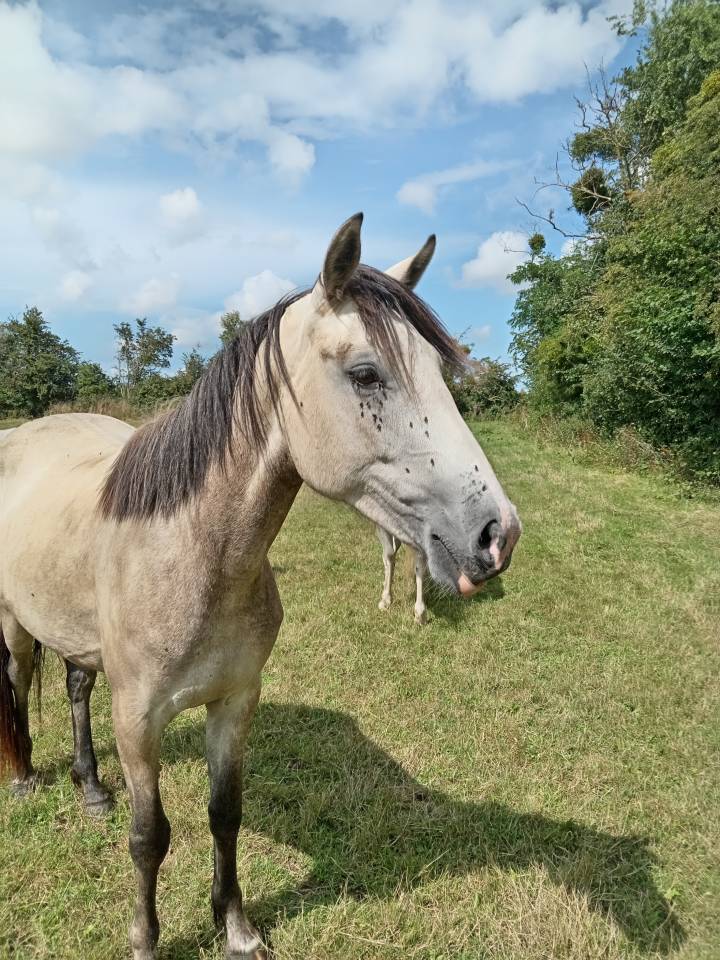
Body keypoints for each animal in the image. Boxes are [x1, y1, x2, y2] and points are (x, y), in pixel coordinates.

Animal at [0, 214, 521, 960]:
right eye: (366, 374)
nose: (496, 533)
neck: (194, 556)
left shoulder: (235, 702)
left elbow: (225, 814)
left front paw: (237, 928)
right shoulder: (138, 722)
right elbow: (149, 837)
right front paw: (145, 939)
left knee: (74, 688)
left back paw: (91, 788)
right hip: (15, 624)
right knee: (17, 686)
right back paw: (22, 780)